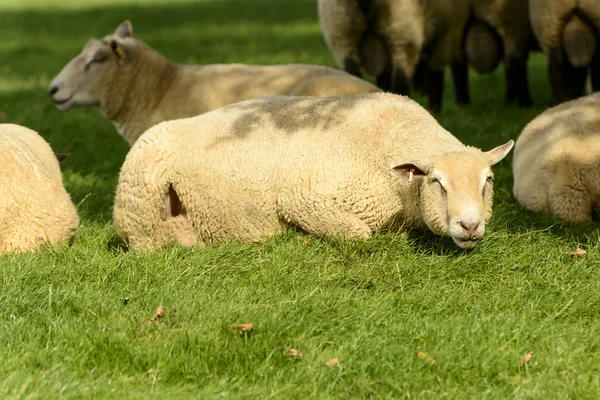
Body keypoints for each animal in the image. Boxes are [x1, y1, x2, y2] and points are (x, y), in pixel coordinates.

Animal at [115, 92, 512, 252]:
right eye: (437, 183)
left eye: (487, 182)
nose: (470, 226)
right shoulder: (305, 199)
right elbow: (358, 234)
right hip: (140, 206)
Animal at [316, 0, 472, 112]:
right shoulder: (450, 30)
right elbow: (441, 72)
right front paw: (445, 107)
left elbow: (384, 76)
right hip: (401, 25)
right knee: (401, 77)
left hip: (340, 27)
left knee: (351, 72)